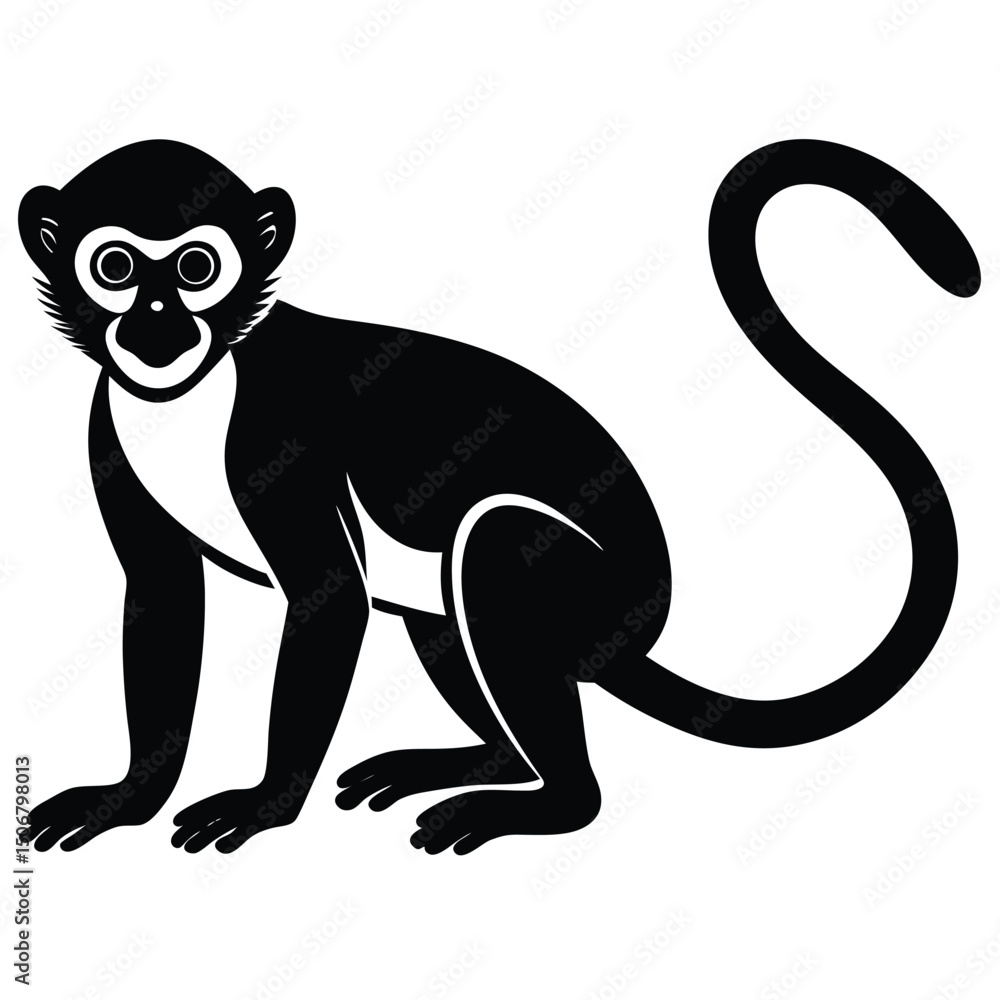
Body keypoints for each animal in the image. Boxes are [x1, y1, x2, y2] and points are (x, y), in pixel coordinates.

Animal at [19, 138, 977, 857]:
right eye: (114, 266)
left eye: (194, 267)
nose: (156, 324)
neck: (200, 387)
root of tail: (643, 624)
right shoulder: (105, 423)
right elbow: (162, 594)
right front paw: (127, 797)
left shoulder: (278, 436)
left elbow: (328, 596)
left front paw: (265, 804)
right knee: (441, 609)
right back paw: (486, 762)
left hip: (598, 597)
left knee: (493, 544)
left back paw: (557, 801)